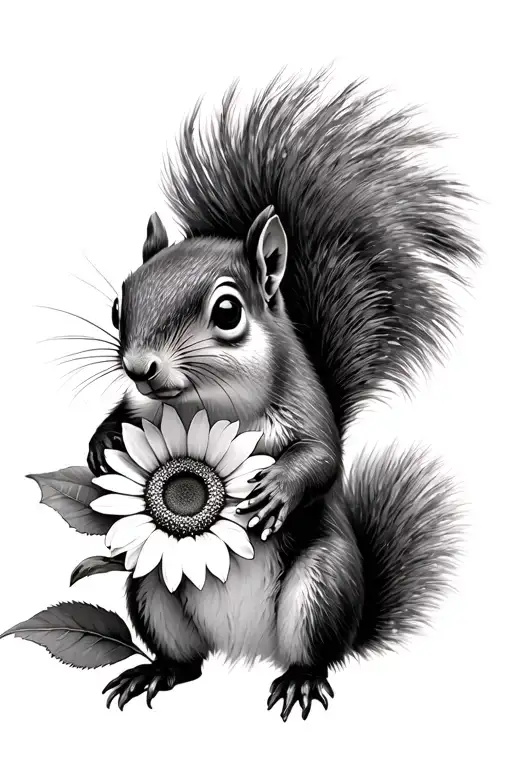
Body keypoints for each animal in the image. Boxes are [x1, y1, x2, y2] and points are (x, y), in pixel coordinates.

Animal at [87, 70, 479, 720]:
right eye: (120, 304)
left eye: (227, 312)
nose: (140, 367)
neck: (206, 404)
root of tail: (246, 650)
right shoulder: (146, 408)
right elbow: (124, 418)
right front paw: (100, 444)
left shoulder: (305, 407)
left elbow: (322, 457)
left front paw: (275, 490)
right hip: (151, 590)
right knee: (188, 662)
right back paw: (157, 671)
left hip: (320, 588)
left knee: (315, 654)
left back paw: (299, 680)